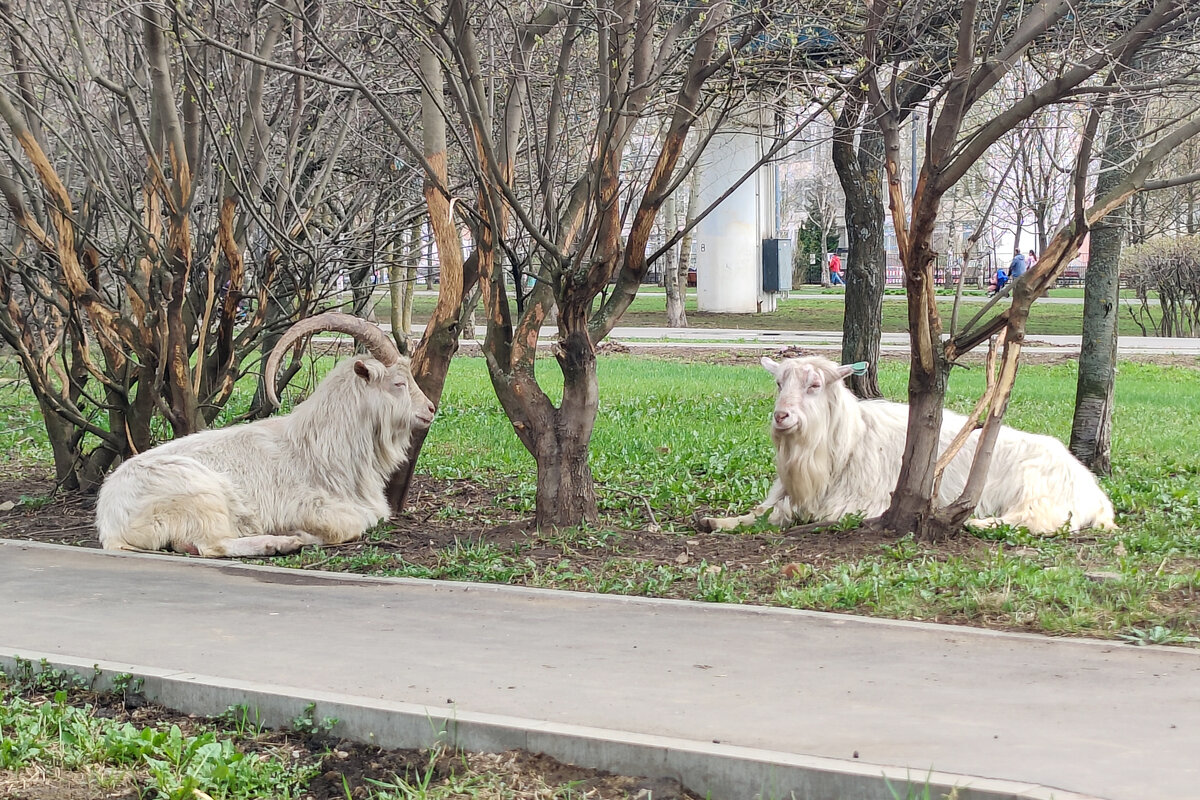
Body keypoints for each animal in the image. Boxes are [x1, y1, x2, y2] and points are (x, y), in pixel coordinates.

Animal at [97, 311, 436, 556]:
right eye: (398, 383)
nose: (430, 409)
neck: (317, 445)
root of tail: (110, 522)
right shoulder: (307, 505)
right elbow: (353, 524)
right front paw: (300, 535)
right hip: (199, 495)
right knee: (211, 546)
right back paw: (278, 544)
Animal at [700, 357, 1118, 534]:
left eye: (815, 385)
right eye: (778, 384)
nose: (782, 416)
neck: (848, 443)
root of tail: (1097, 498)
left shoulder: (860, 504)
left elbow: (787, 514)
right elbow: (764, 511)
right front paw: (716, 521)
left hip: (1038, 493)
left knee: (1038, 521)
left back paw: (978, 523)